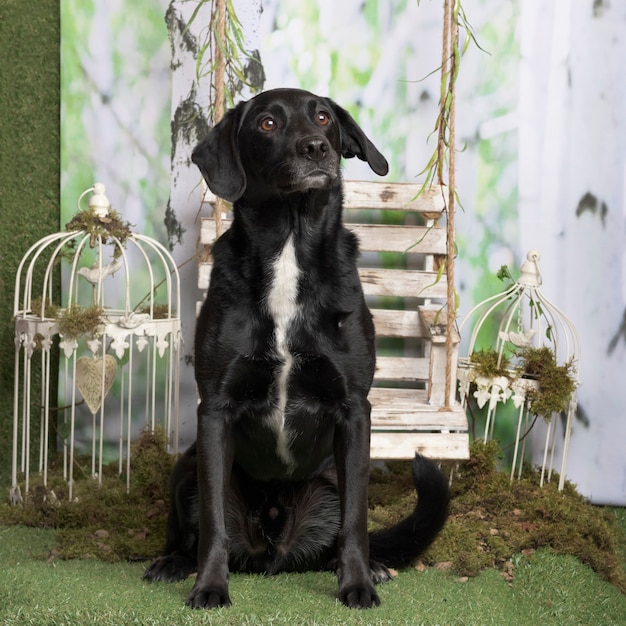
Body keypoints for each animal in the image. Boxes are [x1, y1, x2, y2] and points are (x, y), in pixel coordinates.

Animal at [145, 89, 448, 608]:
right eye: (267, 123)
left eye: (323, 117)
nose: (316, 148)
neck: (289, 242)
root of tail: (273, 552)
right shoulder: (215, 411)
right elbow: (213, 524)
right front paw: (210, 587)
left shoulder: (354, 410)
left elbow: (356, 524)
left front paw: (358, 584)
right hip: (186, 466)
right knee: (190, 530)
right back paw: (172, 563)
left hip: (332, 480)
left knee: (340, 532)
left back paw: (370, 566)